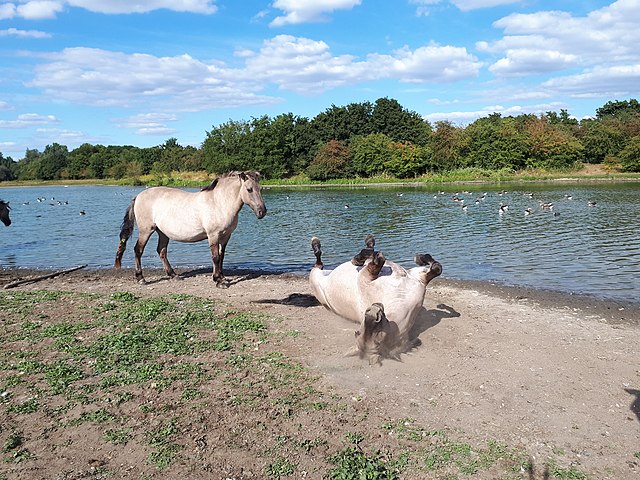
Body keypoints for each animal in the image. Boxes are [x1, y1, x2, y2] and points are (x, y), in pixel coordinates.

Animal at [114, 172, 264, 286]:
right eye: (249, 189)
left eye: (261, 189)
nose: (262, 212)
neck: (219, 202)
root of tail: (138, 196)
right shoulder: (213, 235)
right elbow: (215, 257)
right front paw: (218, 280)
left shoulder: (226, 236)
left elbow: (221, 257)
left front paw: (222, 278)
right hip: (146, 231)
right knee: (138, 250)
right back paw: (141, 278)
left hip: (162, 233)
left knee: (161, 251)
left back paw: (173, 275)